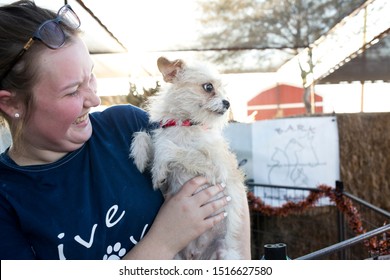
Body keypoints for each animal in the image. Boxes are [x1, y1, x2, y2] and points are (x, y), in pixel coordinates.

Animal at [130, 57, 247, 260]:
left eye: (223, 90)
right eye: (208, 87)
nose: (227, 103)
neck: (186, 125)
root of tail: (195, 255)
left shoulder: (217, 170)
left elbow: (170, 149)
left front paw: (158, 169)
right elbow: (145, 136)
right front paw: (140, 156)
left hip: (225, 254)